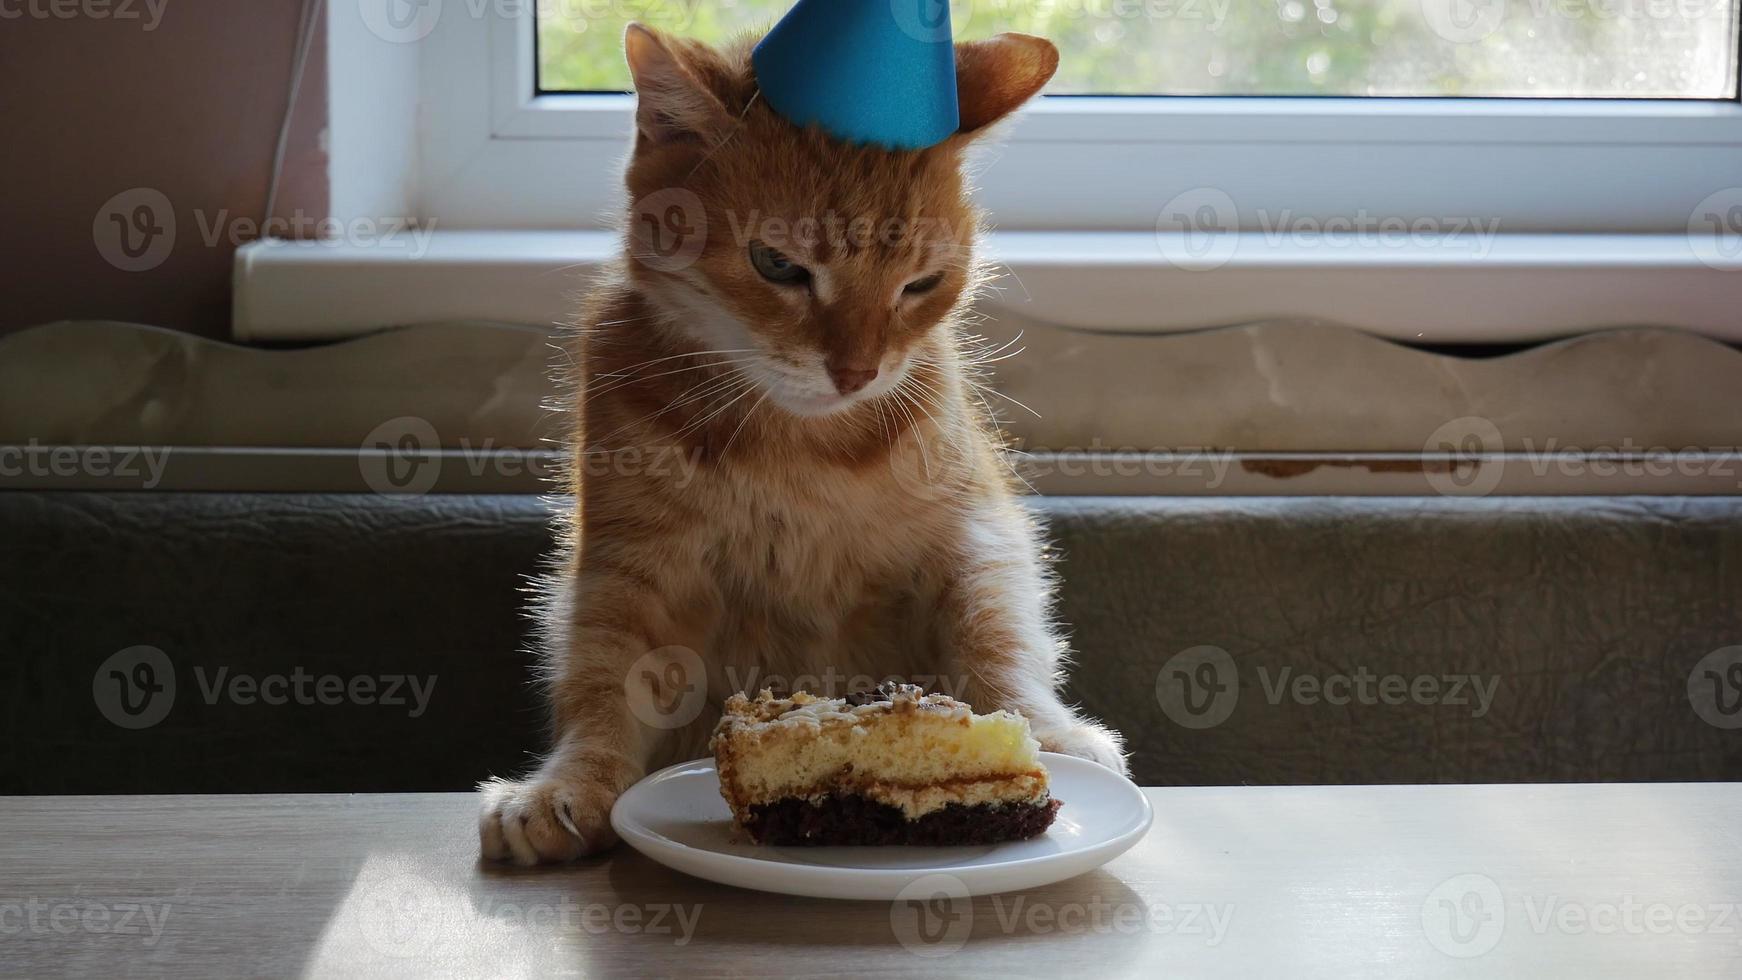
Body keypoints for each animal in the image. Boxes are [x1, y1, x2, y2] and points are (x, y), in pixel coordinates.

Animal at [480, 24, 1128, 866]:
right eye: (778, 265)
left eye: (921, 284)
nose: (857, 371)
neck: (799, 448)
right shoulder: (630, 567)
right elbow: (603, 675)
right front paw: (569, 784)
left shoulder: (973, 535)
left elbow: (998, 636)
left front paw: (1047, 730)